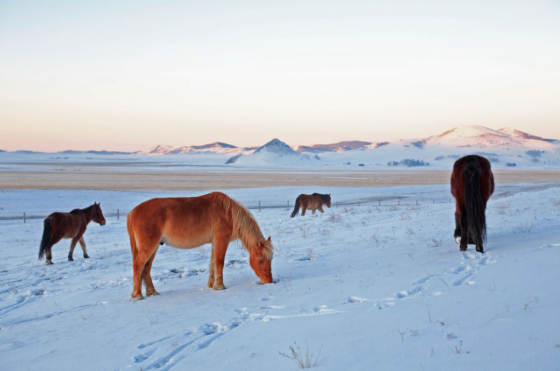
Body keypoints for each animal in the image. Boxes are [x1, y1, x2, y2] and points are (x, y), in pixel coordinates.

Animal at [127, 193, 276, 300]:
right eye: (260, 260)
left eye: (271, 259)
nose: (269, 281)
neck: (228, 213)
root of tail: (133, 212)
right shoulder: (221, 240)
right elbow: (219, 262)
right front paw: (220, 286)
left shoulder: (215, 242)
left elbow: (212, 263)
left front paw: (211, 285)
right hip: (149, 246)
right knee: (138, 266)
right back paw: (138, 295)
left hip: (155, 247)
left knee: (146, 268)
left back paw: (152, 292)